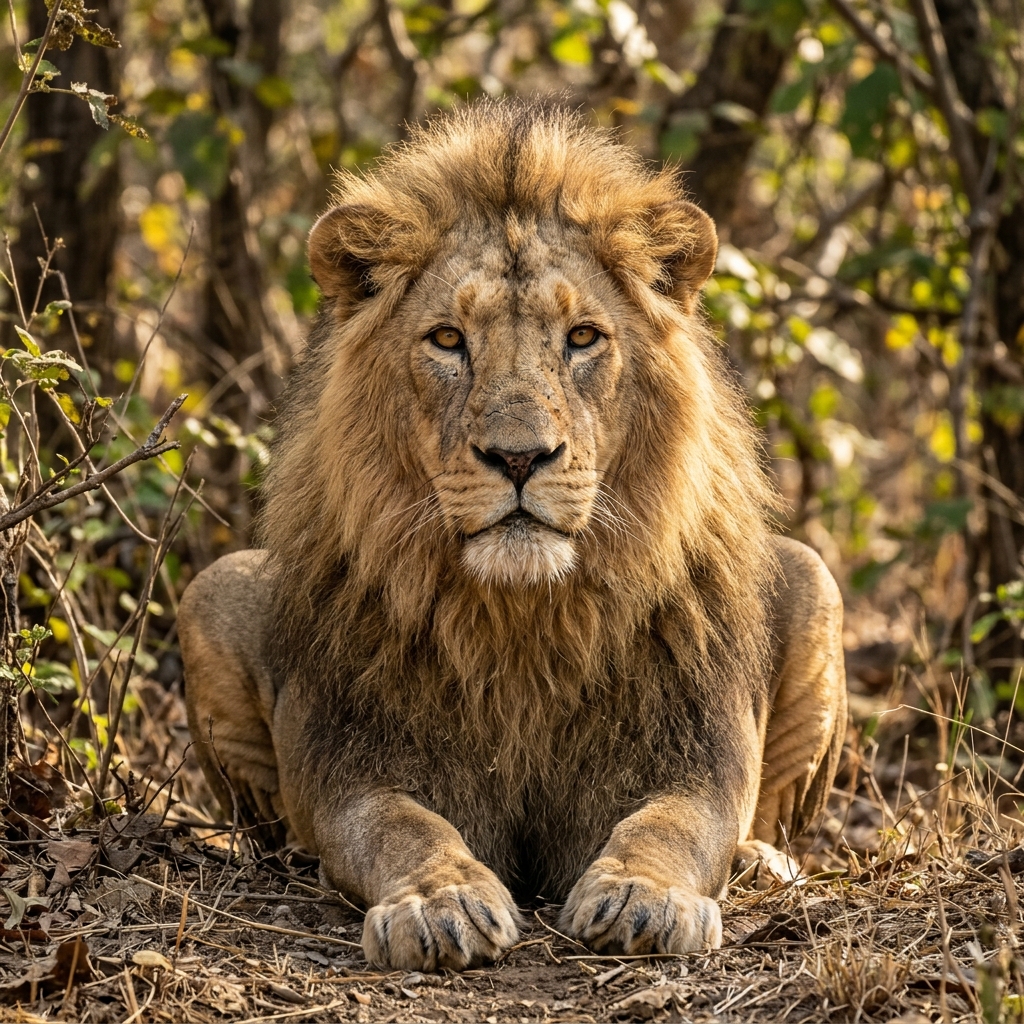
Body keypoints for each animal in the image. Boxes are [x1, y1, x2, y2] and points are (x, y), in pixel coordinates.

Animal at [179, 101, 847, 971]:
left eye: (584, 338)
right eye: (447, 340)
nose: (520, 456)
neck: (523, 618)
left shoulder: (696, 754)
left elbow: (669, 827)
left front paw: (644, 899)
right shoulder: (348, 762)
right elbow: (401, 827)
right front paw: (441, 904)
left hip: (816, 581)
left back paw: (763, 862)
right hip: (211, 591)